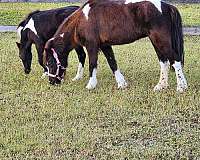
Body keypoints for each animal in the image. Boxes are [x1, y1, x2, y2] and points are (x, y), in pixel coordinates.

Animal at [43, 0, 188, 92]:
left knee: (175, 60)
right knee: (164, 62)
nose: (52, 82)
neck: (83, 20)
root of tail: (167, 6)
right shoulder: (105, 46)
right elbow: (112, 63)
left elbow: (92, 64)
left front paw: (91, 85)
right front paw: (122, 84)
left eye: (50, 62)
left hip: (160, 40)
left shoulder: (92, 46)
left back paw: (181, 87)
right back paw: (161, 86)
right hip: (156, 41)